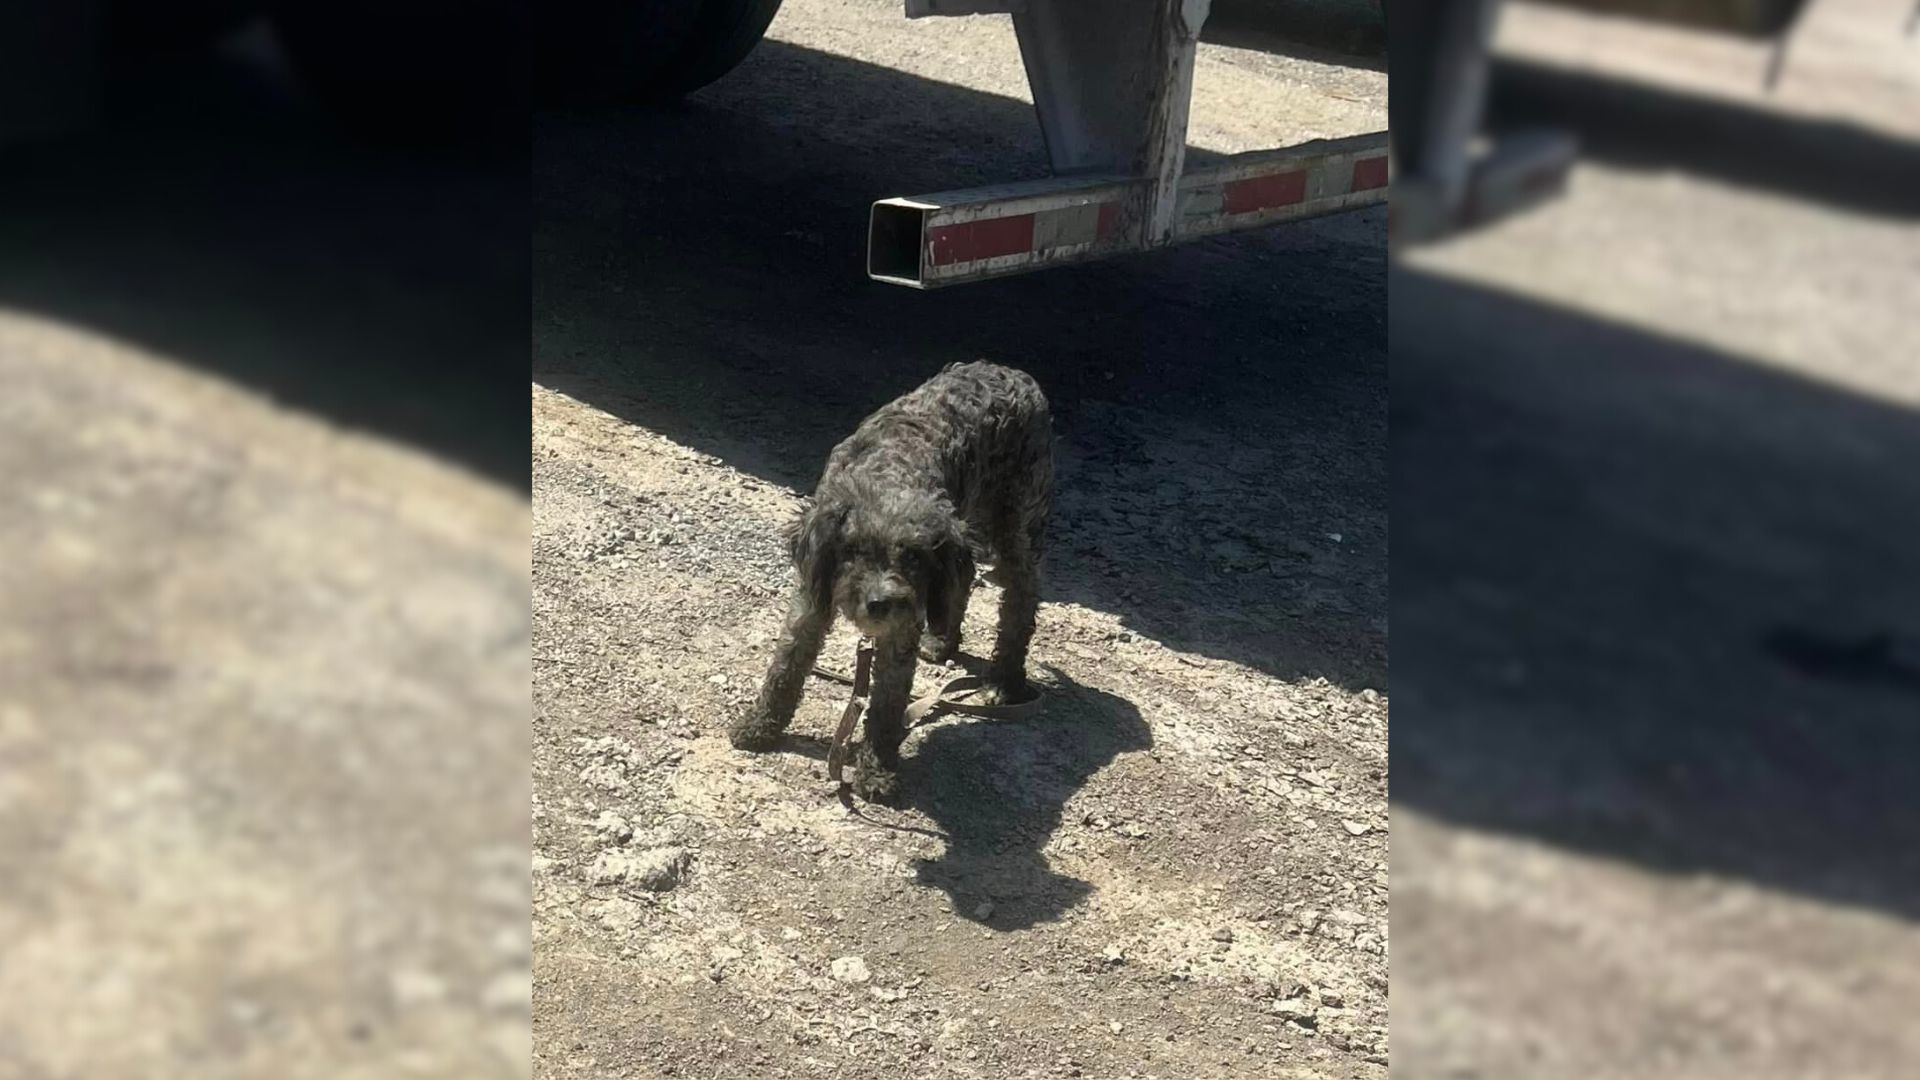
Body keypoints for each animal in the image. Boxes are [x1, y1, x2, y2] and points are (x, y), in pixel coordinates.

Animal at [729, 361, 1059, 799]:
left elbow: (887, 702)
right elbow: (788, 662)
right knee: (964, 580)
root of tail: (1012, 372)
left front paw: (876, 769)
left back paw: (1005, 680)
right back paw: (943, 642)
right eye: (853, 551)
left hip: (1015, 526)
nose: (880, 604)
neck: (890, 476)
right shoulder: (812, 598)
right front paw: (760, 725)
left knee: (1021, 599)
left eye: (914, 557)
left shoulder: (902, 625)